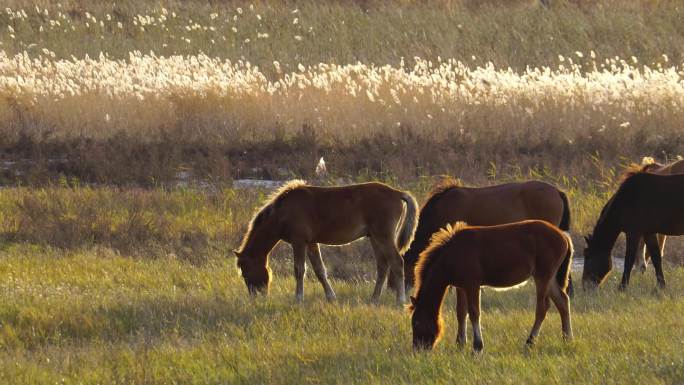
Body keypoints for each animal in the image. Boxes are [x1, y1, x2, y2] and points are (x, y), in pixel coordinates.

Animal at [234, 180, 416, 304]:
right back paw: (374, 299)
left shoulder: (299, 242)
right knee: (383, 266)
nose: (257, 296)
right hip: (375, 238)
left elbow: (299, 269)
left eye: (245, 271)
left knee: (397, 262)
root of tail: (398, 193)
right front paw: (330, 297)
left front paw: (298, 298)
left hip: (383, 236)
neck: (283, 213)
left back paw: (400, 300)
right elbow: (319, 270)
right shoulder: (311, 243)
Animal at [408, 219, 576, 352]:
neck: (453, 254)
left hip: (543, 276)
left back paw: (530, 341)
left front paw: (477, 346)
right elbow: (461, 313)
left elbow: (474, 312)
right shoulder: (461, 287)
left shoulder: (472, 285)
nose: (418, 349)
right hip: (550, 278)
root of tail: (564, 237)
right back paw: (567, 338)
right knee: (562, 301)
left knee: (542, 307)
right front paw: (460, 344)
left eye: (416, 322)